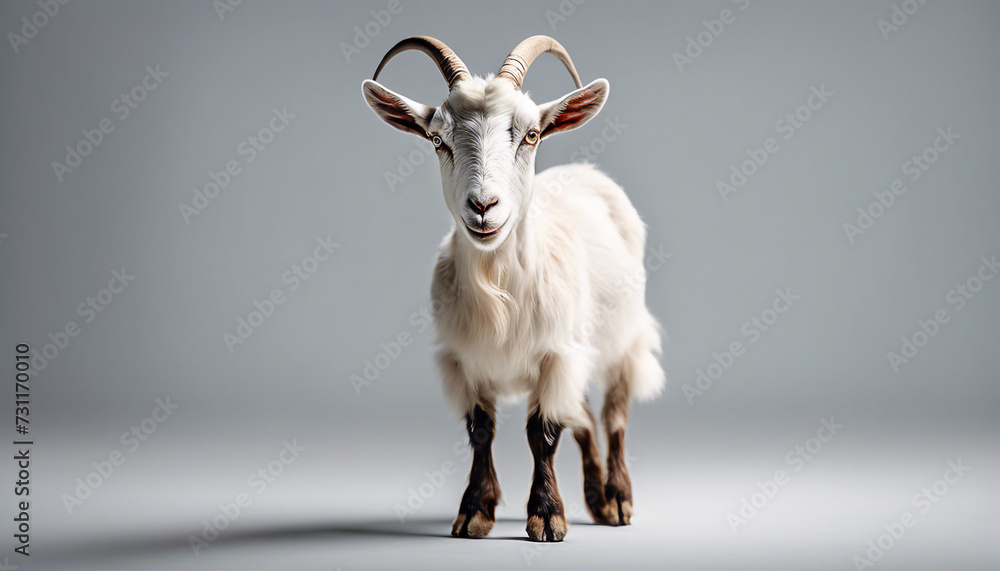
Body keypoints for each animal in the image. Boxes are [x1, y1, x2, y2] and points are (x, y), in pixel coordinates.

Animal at [362, 36, 665, 542]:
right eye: (438, 140)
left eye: (531, 135)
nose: (484, 205)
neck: (498, 288)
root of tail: (584, 170)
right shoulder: (466, 359)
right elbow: (482, 430)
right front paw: (475, 510)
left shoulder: (556, 353)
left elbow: (542, 433)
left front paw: (546, 516)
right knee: (584, 417)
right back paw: (598, 501)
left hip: (624, 338)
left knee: (614, 416)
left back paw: (619, 499)